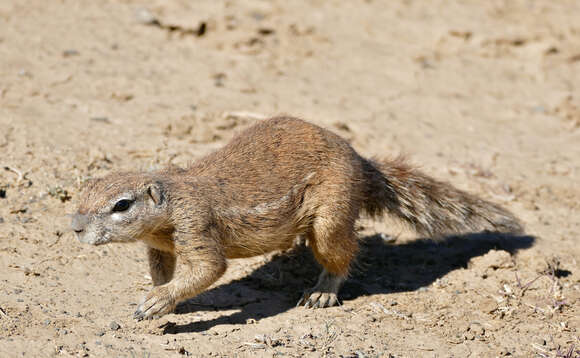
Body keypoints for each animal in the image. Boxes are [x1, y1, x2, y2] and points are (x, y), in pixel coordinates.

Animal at [70, 117, 524, 318]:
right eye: (82, 192)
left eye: (121, 205)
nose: (74, 227)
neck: (171, 196)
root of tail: (361, 161)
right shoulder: (159, 245)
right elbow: (163, 270)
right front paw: (162, 297)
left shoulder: (195, 224)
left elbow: (209, 268)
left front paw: (161, 300)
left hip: (331, 217)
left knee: (342, 254)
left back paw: (322, 291)